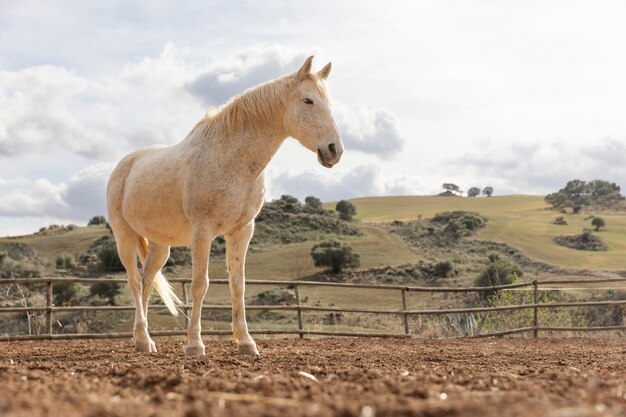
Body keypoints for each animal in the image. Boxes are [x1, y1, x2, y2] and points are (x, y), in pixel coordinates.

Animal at [106, 54, 342, 354]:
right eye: (308, 101)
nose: (335, 150)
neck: (231, 159)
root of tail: (126, 163)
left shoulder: (242, 231)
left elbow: (237, 285)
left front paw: (246, 342)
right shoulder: (202, 231)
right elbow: (200, 284)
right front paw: (195, 344)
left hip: (160, 245)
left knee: (147, 282)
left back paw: (143, 340)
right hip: (124, 236)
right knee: (135, 282)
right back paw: (144, 340)